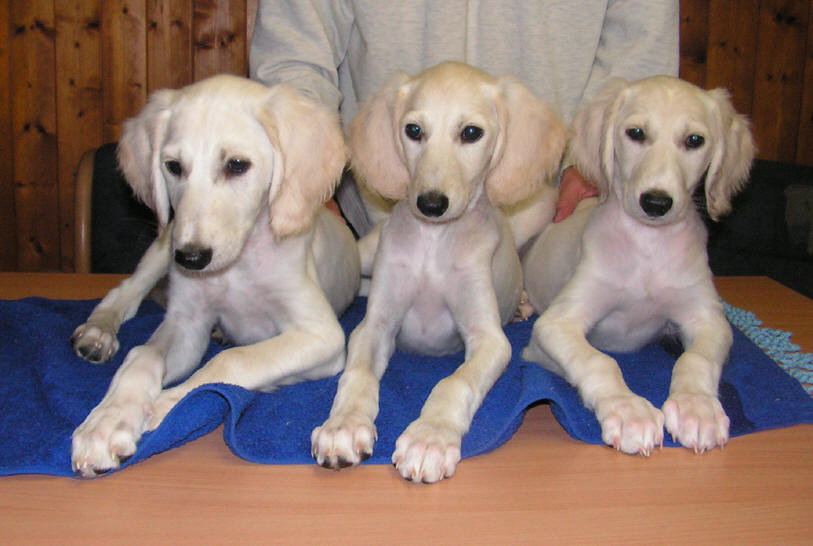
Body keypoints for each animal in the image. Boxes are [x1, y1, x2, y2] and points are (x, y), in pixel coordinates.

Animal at [70, 75, 360, 477]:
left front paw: (167, 403)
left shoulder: (323, 335)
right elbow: (142, 355)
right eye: (173, 166)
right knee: (127, 290)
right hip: (165, 239)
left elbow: (231, 361)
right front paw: (108, 420)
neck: (236, 266)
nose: (191, 258)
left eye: (237, 165)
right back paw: (98, 332)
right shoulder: (188, 322)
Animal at [311, 62, 566, 483]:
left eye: (471, 133)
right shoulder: (375, 326)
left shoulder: (490, 340)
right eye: (414, 130)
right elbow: (358, 374)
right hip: (367, 253)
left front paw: (429, 438)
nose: (430, 204)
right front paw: (343, 425)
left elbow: (454, 382)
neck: (433, 242)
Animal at [521, 76, 755, 456]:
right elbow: (600, 361)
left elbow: (696, 359)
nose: (656, 203)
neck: (648, 247)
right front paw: (628, 411)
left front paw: (697, 408)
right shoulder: (556, 323)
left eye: (694, 140)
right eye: (635, 133)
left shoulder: (708, 320)